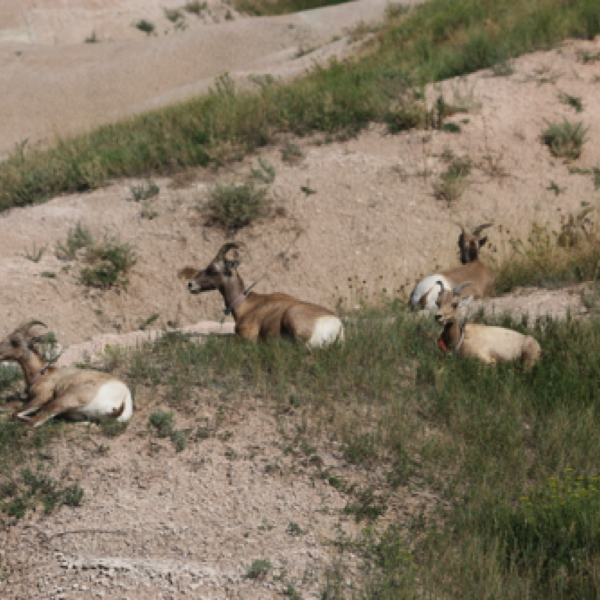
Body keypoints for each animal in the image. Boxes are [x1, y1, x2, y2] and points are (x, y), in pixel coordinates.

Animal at [0, 318, 134, 426]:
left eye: (15, 341)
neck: (44, 373)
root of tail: (123, 398)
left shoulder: (43, 397)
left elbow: (16, 413)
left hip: (62, 402)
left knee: (32, 421)